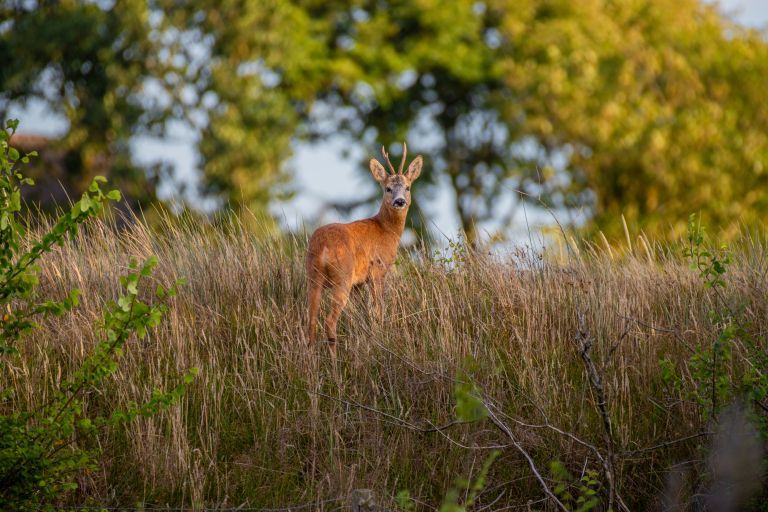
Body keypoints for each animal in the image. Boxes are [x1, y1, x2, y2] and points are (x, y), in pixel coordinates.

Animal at [306, 142, 424, 354]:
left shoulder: (358, 284)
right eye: (388, 188)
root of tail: (324, 247)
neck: (385, 230)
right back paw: (335, 360)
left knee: (310, 321)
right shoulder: (377, 270)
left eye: (408, 187)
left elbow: (364, 314)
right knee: (329, 321)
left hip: (313, 277)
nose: (400, 201)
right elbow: (378, 310)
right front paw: (381, 337)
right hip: (342, 276)